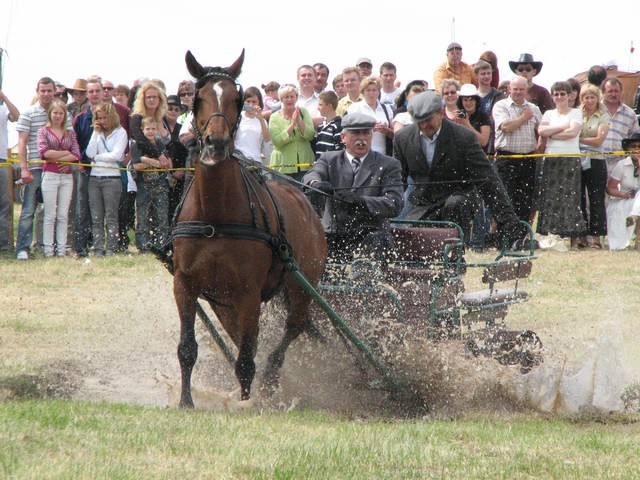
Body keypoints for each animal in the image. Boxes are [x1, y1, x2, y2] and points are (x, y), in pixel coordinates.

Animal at [171, 50, 328, 406]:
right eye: (198, 98)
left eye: (237, 99)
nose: (216, 143)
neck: (215, 215)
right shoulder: (185, 283)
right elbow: (187, 348)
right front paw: (186, 401)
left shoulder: (249, 292)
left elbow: (246, 359)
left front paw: (248, 402)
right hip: (223, 301)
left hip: (301, 286)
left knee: (292, 327)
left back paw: (271, 375)